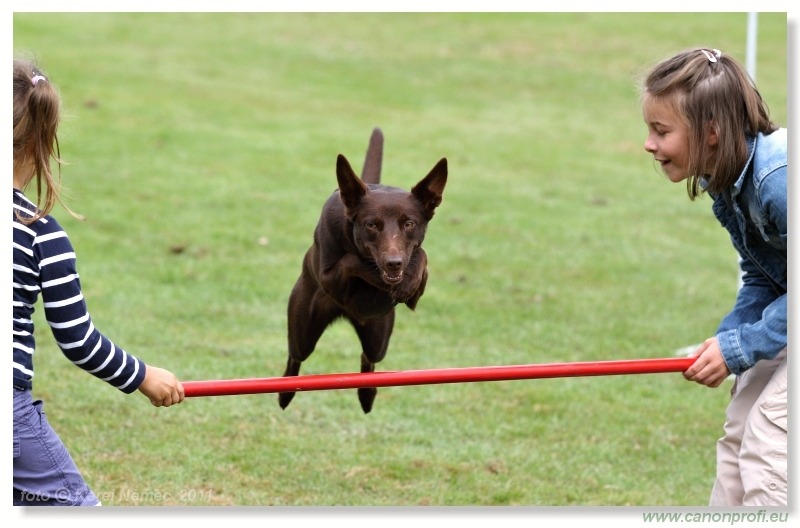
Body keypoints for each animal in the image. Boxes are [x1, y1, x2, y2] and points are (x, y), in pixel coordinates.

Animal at [280, 129, 444, 412]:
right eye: (371, 225)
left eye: (409, 223)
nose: (394, 263)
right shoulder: (330, 279)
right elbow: (353, 261)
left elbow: (421, 255)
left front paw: (409, 282)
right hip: (304, 329)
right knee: (295, 356)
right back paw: (285, 392)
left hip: (378, 335)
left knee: (369, 358)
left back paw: (367, 393)